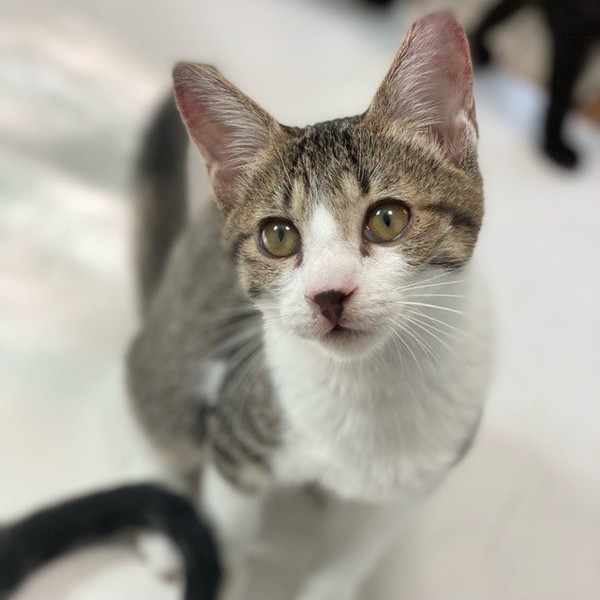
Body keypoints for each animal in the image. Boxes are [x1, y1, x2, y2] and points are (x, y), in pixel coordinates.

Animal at [128, 10, 491, 600]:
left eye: (387, 219)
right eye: (278, 236)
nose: (330, 293)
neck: (369, 388)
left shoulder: (407, 490)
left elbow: (346, 564)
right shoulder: (236, 436)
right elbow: (228, 538)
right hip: (177, 357)